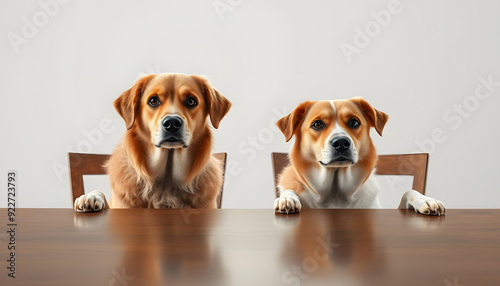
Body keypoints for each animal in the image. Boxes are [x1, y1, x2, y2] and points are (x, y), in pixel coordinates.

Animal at [274, 97, 446, 216]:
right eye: (317, 124)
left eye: (354, 122)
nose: (341, 143)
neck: (335, 194)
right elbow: (289, 190)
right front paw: (286, 199)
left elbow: (409, 192)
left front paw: (426, 200)